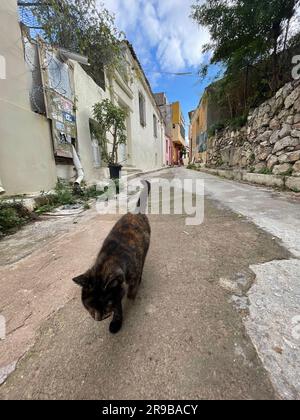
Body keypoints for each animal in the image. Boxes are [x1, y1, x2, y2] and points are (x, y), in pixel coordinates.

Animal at [73, 180, 150, 334]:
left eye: (106, 303)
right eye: (89, 304)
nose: (98, 318)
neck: (109, 259)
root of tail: (136, 212)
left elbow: (129, 292)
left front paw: (131, 296)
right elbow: (118, 305)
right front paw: (116, 321)